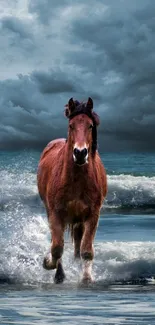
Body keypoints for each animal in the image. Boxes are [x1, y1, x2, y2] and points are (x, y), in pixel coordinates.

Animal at [37, 97, 107, 282]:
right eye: (71, 125)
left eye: (90, 125)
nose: (80, 153)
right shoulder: (56, 213)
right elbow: (56, 247)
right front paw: (48, 264)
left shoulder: (92, 215)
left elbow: (87, 250)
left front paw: (86, 279)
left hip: (79, 219)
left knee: (77, 243)